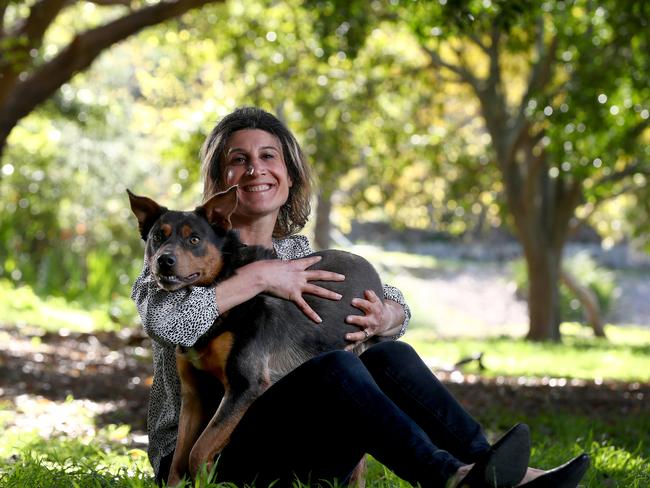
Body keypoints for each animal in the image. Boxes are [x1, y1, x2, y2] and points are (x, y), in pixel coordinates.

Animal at [126, 186, 384, 484]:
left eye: (194, 239)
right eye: (158, 236)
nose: (164, 260)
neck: (221, 284)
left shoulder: (244, 384)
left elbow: (197, 453)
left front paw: (207, 478)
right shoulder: (194, 394)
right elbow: (179, 463)